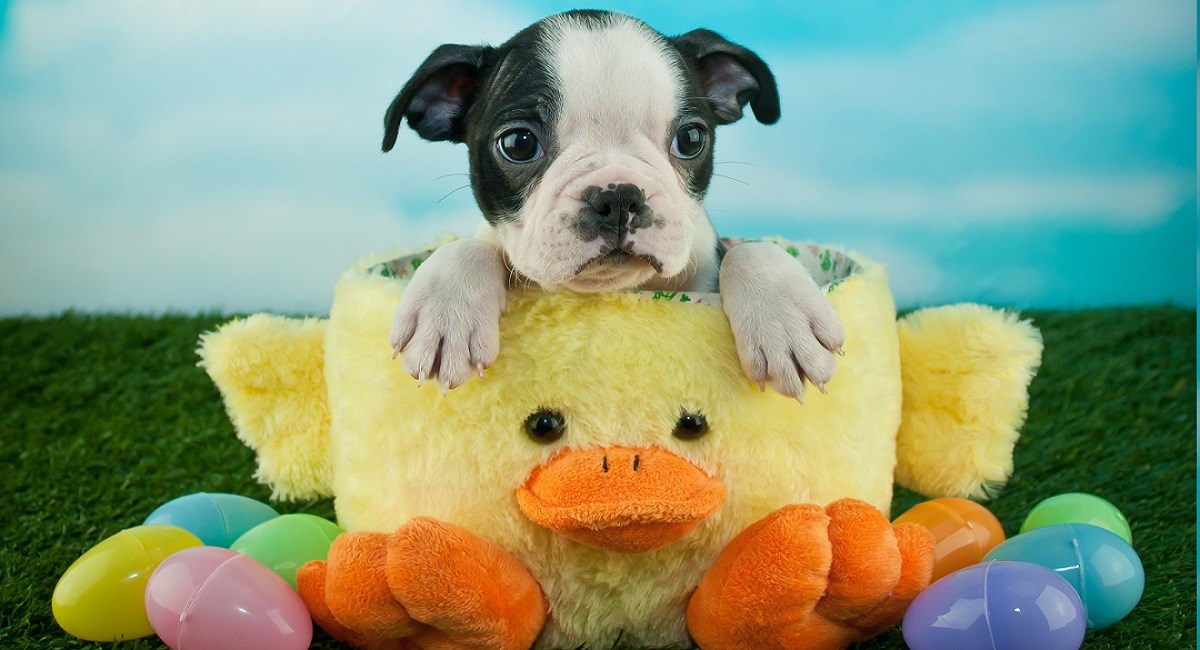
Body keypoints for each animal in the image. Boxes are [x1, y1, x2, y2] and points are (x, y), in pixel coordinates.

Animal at [384, 10, 844, 402]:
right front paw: (446, 310)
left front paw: (785, 319)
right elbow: (469, 245)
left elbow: (747, 248)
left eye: (691, 139)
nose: (618, 196)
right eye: (518, 144)